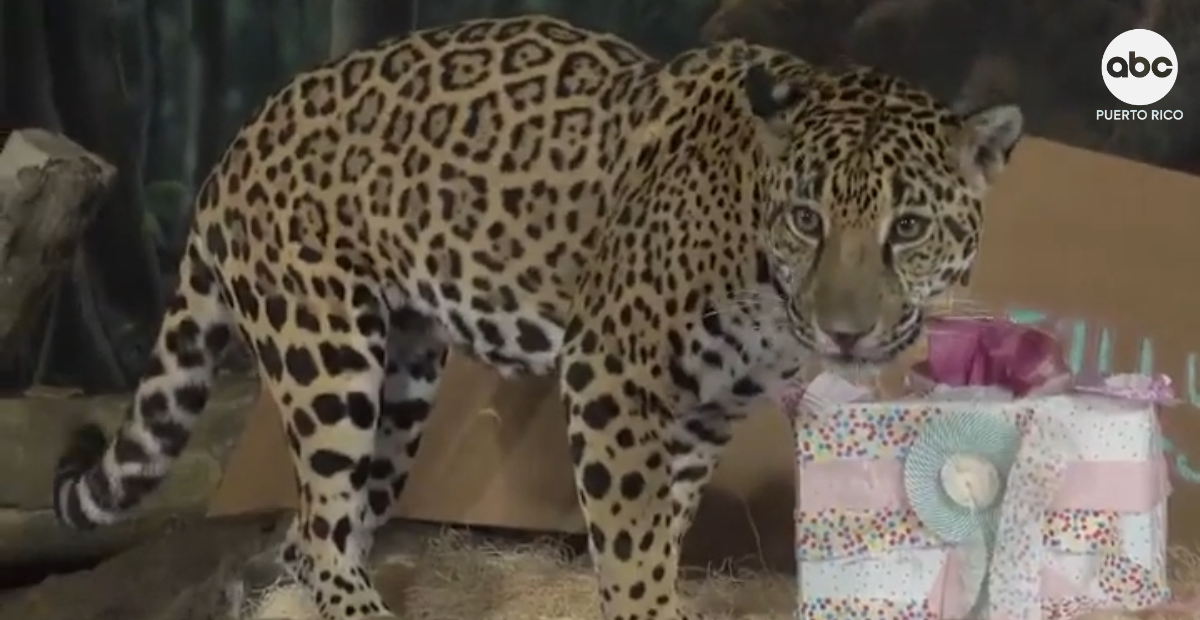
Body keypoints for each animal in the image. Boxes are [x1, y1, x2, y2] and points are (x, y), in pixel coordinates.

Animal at [49, 13, 1023, 620]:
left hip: (404, 384)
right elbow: (627, 539)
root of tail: (235, 145)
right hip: (325, 356)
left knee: (315, 534)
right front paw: (642, 605)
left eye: (909, 228)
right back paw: (359, 606)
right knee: (321, 522)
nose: (848, 331)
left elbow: (661, 527)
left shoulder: (705, 411)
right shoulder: (612, 372)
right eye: (808, 219)